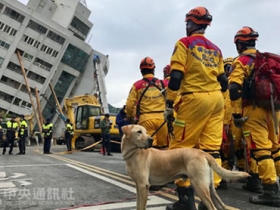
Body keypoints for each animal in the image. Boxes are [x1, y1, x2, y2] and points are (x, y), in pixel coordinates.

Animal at [120, 124, 249, 210]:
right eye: (139, 132)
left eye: (146, 132)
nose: (150, 139)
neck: (133, 153)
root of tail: (203, 153)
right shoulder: (138, 186)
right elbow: (137, 204)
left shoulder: (143, 185)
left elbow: (141, 206)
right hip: (210, 187)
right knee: (220, 205)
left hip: (200, 186)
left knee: (212, 207)